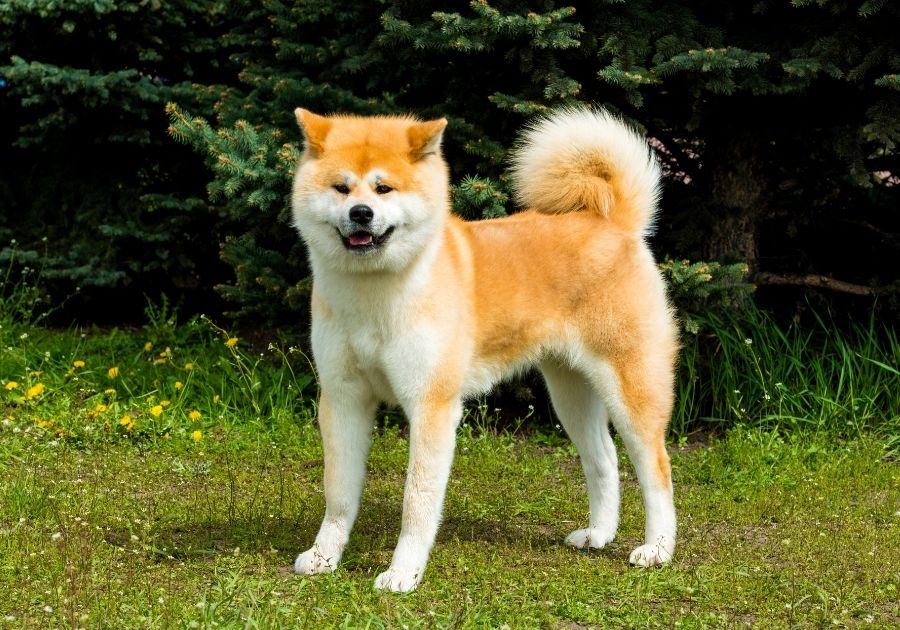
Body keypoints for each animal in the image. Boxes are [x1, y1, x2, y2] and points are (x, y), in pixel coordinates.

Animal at [292, 106, 680, 596]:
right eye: (341, 188)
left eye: (384, 188)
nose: (361, 213)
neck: (374, 295)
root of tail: (614, 223)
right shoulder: (342, 398)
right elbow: (339, 493)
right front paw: (324, 556)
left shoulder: (432, 406)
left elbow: (416, 502)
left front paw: (403, 572)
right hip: (570, 394)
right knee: (604, 461)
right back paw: (598, 534)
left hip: (631, 388)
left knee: (656, 470)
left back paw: (658, 549)